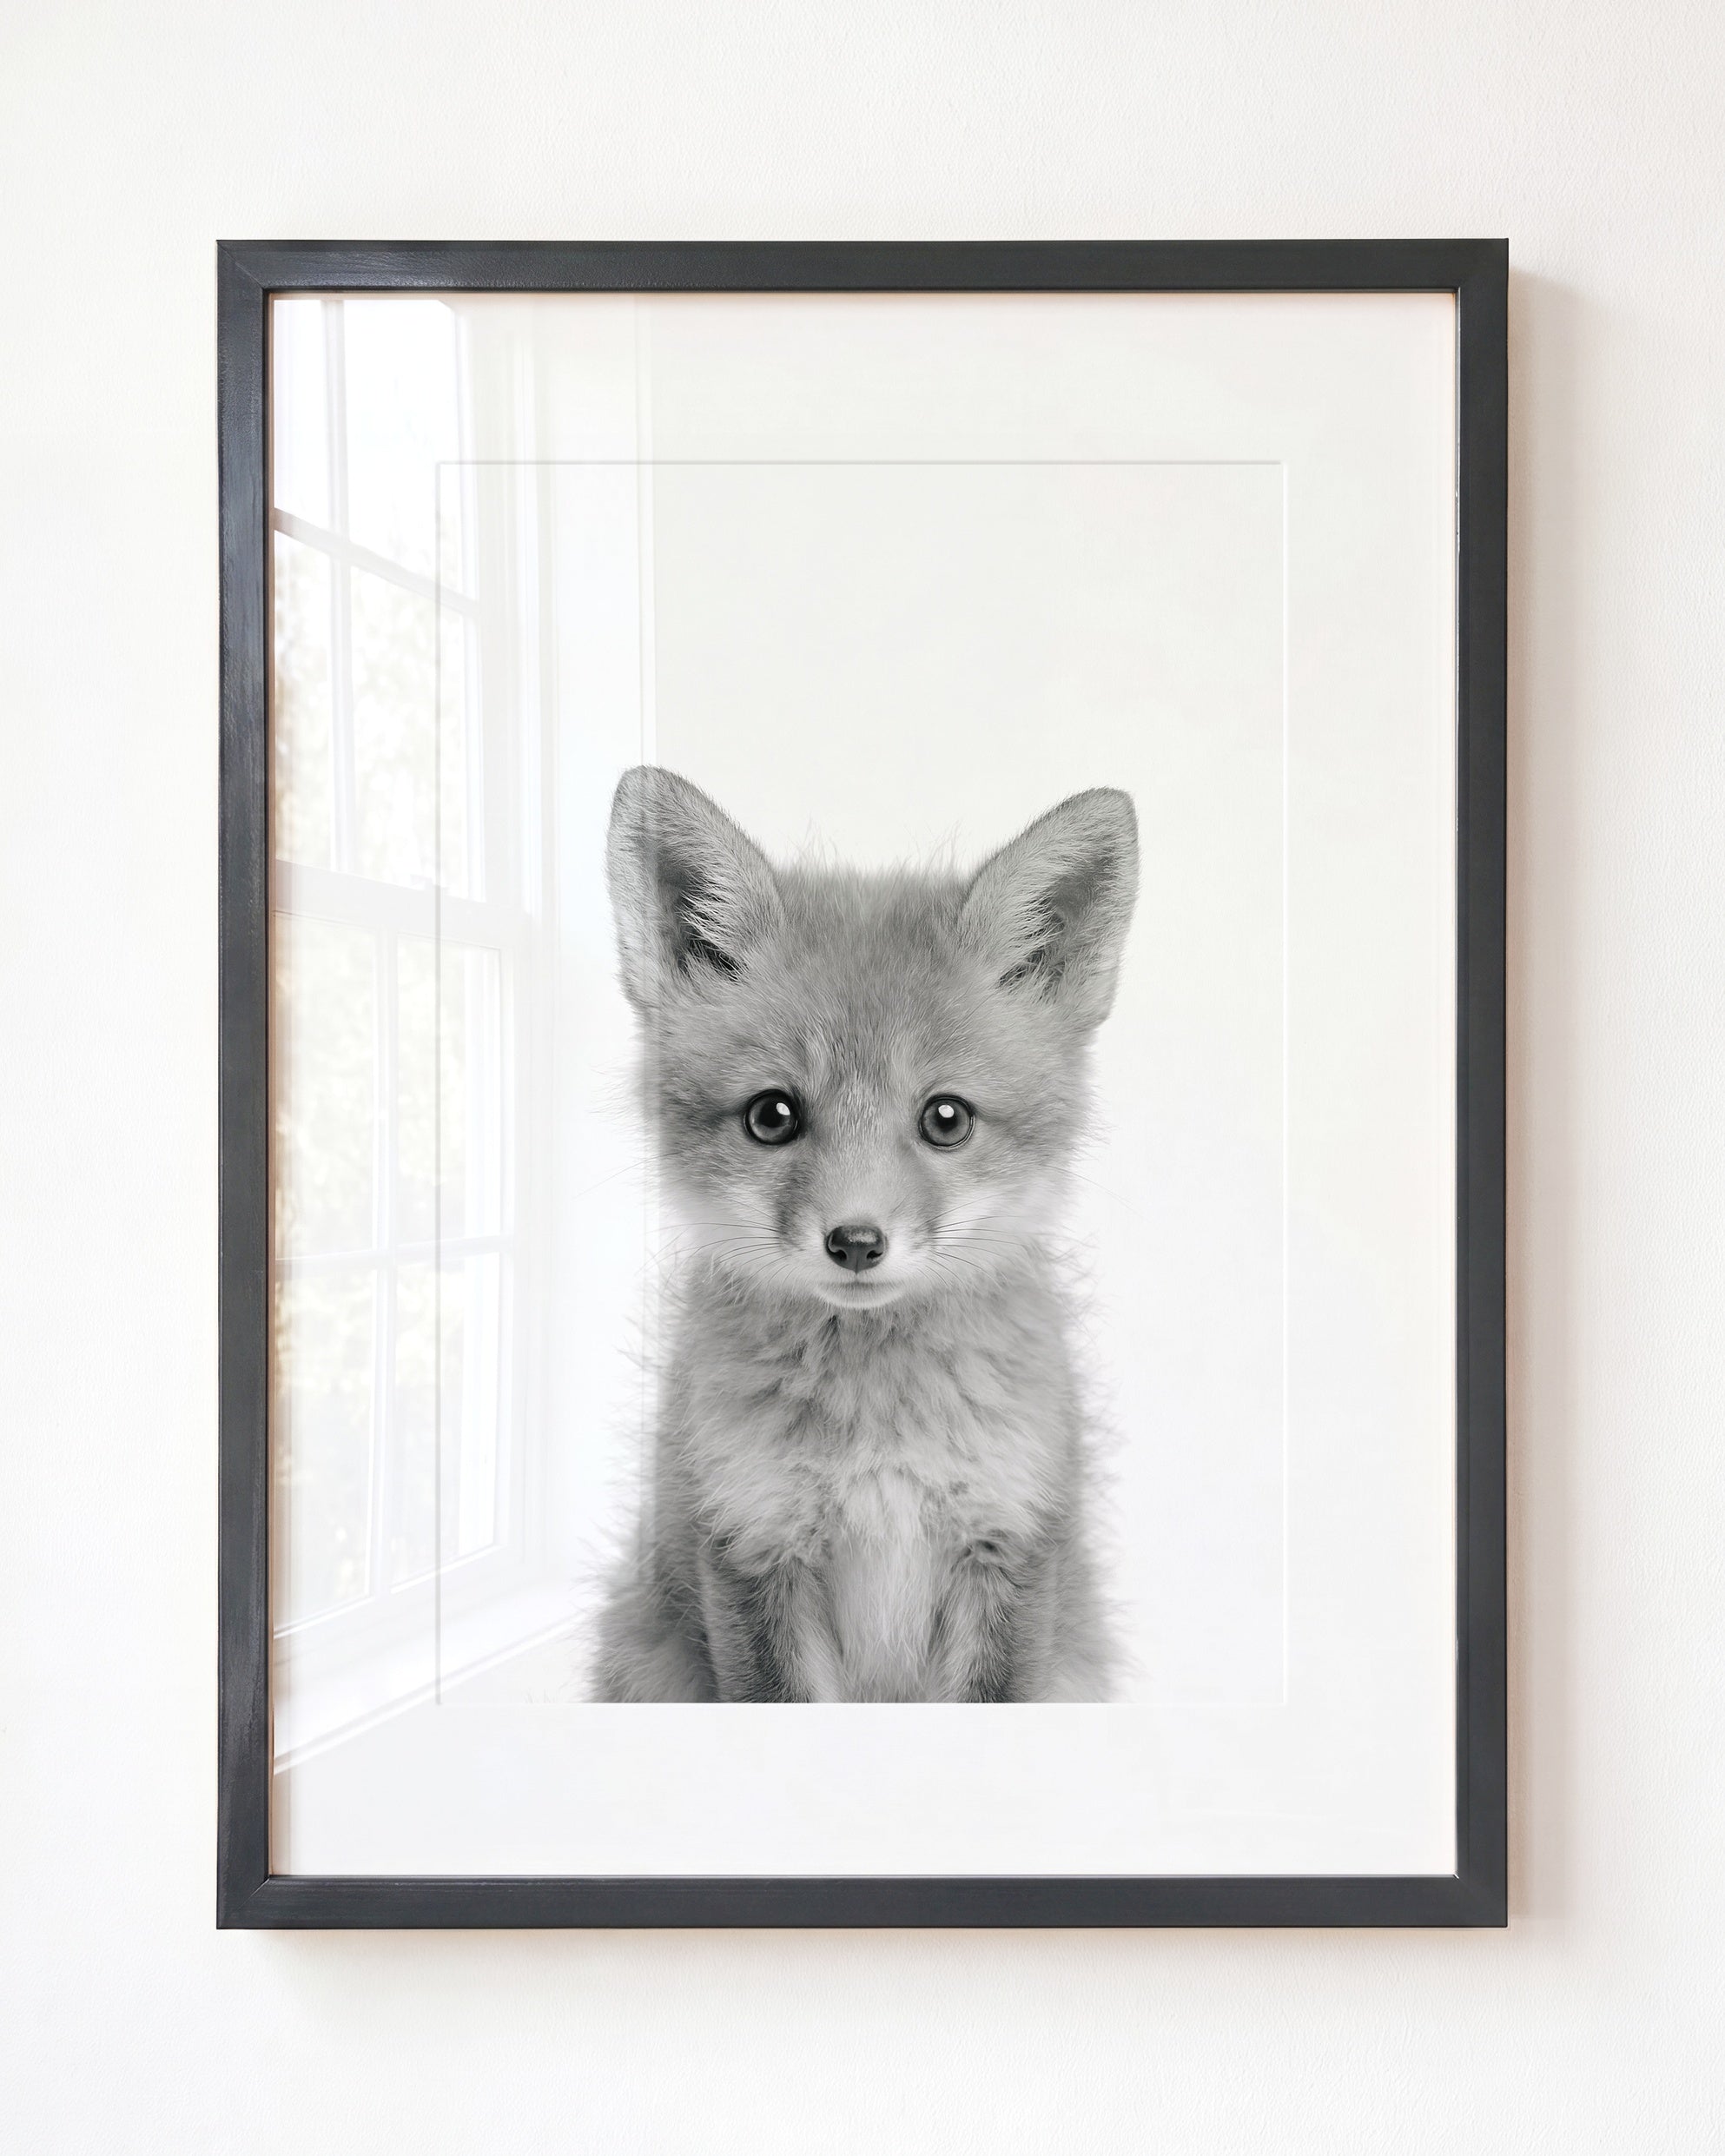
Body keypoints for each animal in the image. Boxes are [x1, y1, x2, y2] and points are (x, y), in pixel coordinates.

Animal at [591, 765, 1139, 1703]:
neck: (879, 1438)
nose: (854, 1242)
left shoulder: (1010, 1545)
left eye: (946, 1119)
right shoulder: (751, 1545)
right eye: (773, 1116)